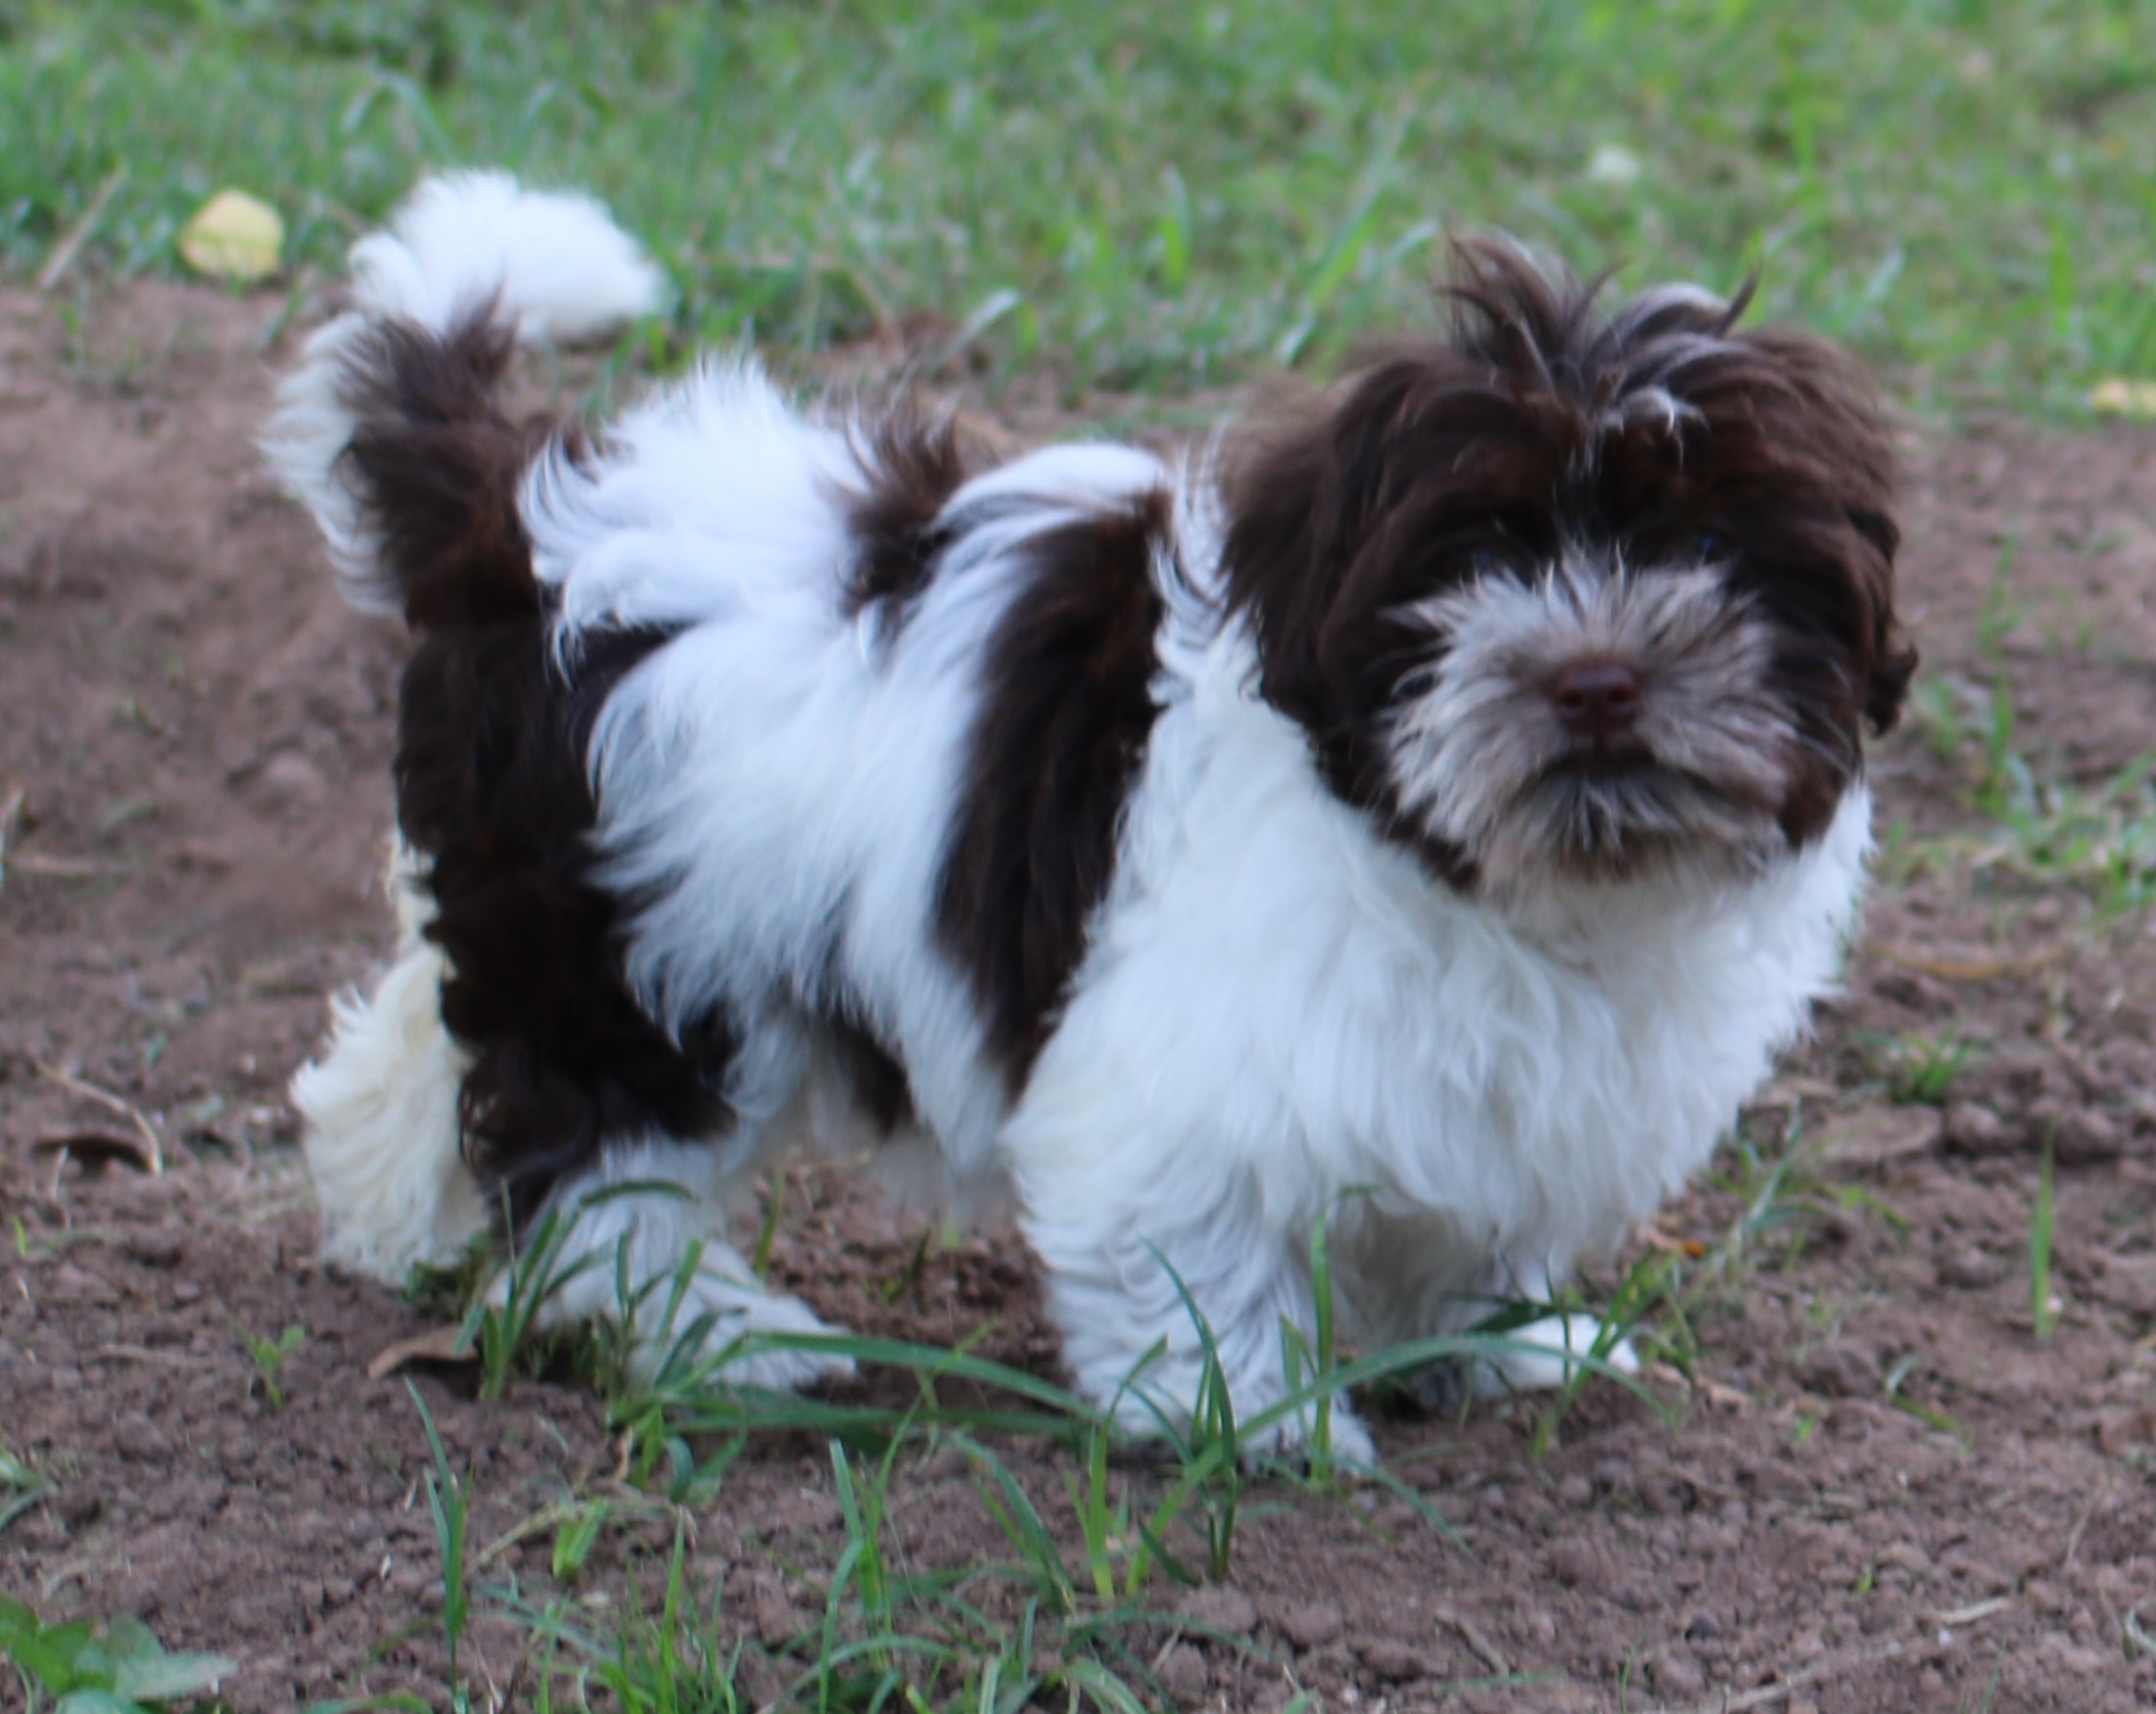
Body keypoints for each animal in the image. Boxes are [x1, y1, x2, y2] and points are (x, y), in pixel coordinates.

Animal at [264, 174, 1905, 1457]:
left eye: (1710, 546)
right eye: (1479, 554)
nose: (1596, 679)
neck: (1493, 873)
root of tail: (515, 524)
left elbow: (1463, 1222)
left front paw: (1491, 1344)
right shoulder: (1182, 1079)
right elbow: (1188, 1248)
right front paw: (1250, 1415)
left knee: (429, 1047)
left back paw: (386, 1215)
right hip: (636, 945)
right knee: (596, 1157)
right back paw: (716, 1336)